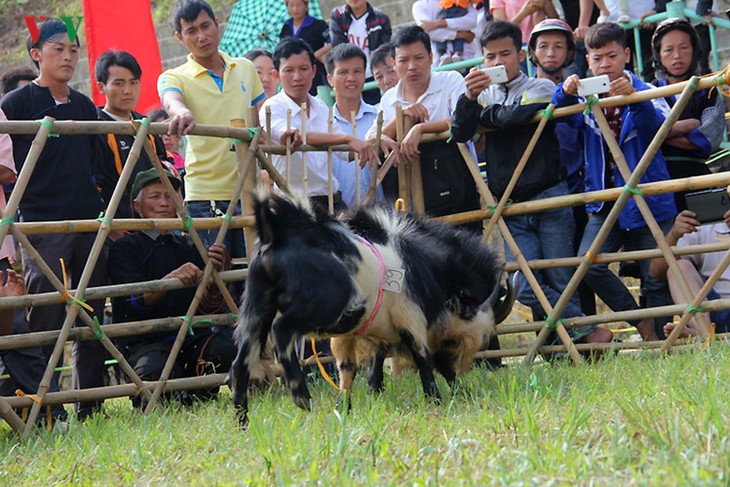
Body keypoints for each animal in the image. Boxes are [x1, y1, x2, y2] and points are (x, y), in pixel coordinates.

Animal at [230, 193, 510, 426]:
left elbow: (352, 371)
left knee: (241, 361)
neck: (421, 264)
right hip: (321, 305)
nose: (464, 364)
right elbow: (424, 359)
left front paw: (346, 407)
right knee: (282, 329)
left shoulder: (357, 335)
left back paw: (242, 419)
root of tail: (276, 232)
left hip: (257, 306)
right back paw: (300, 394)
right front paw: (436, 398)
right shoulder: (411, 319)